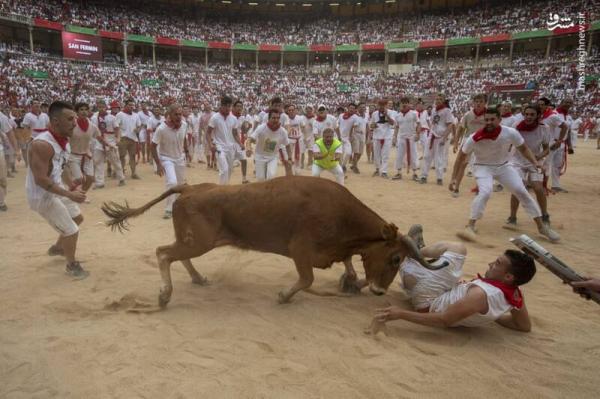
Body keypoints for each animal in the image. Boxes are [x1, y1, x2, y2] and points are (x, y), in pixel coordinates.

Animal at [102, 177, 440, 308]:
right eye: (396, 258)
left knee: (177, 255)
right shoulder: (300, 251)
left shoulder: (336, 250)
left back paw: (198, 279)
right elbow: (306, 279)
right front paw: (283, 295)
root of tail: (190, 187)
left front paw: (350, 281)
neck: (342, 215)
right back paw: (164, 295)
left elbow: (349, 264)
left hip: (193, 239)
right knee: (163, 253)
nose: (380, 291)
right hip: (199, 241)